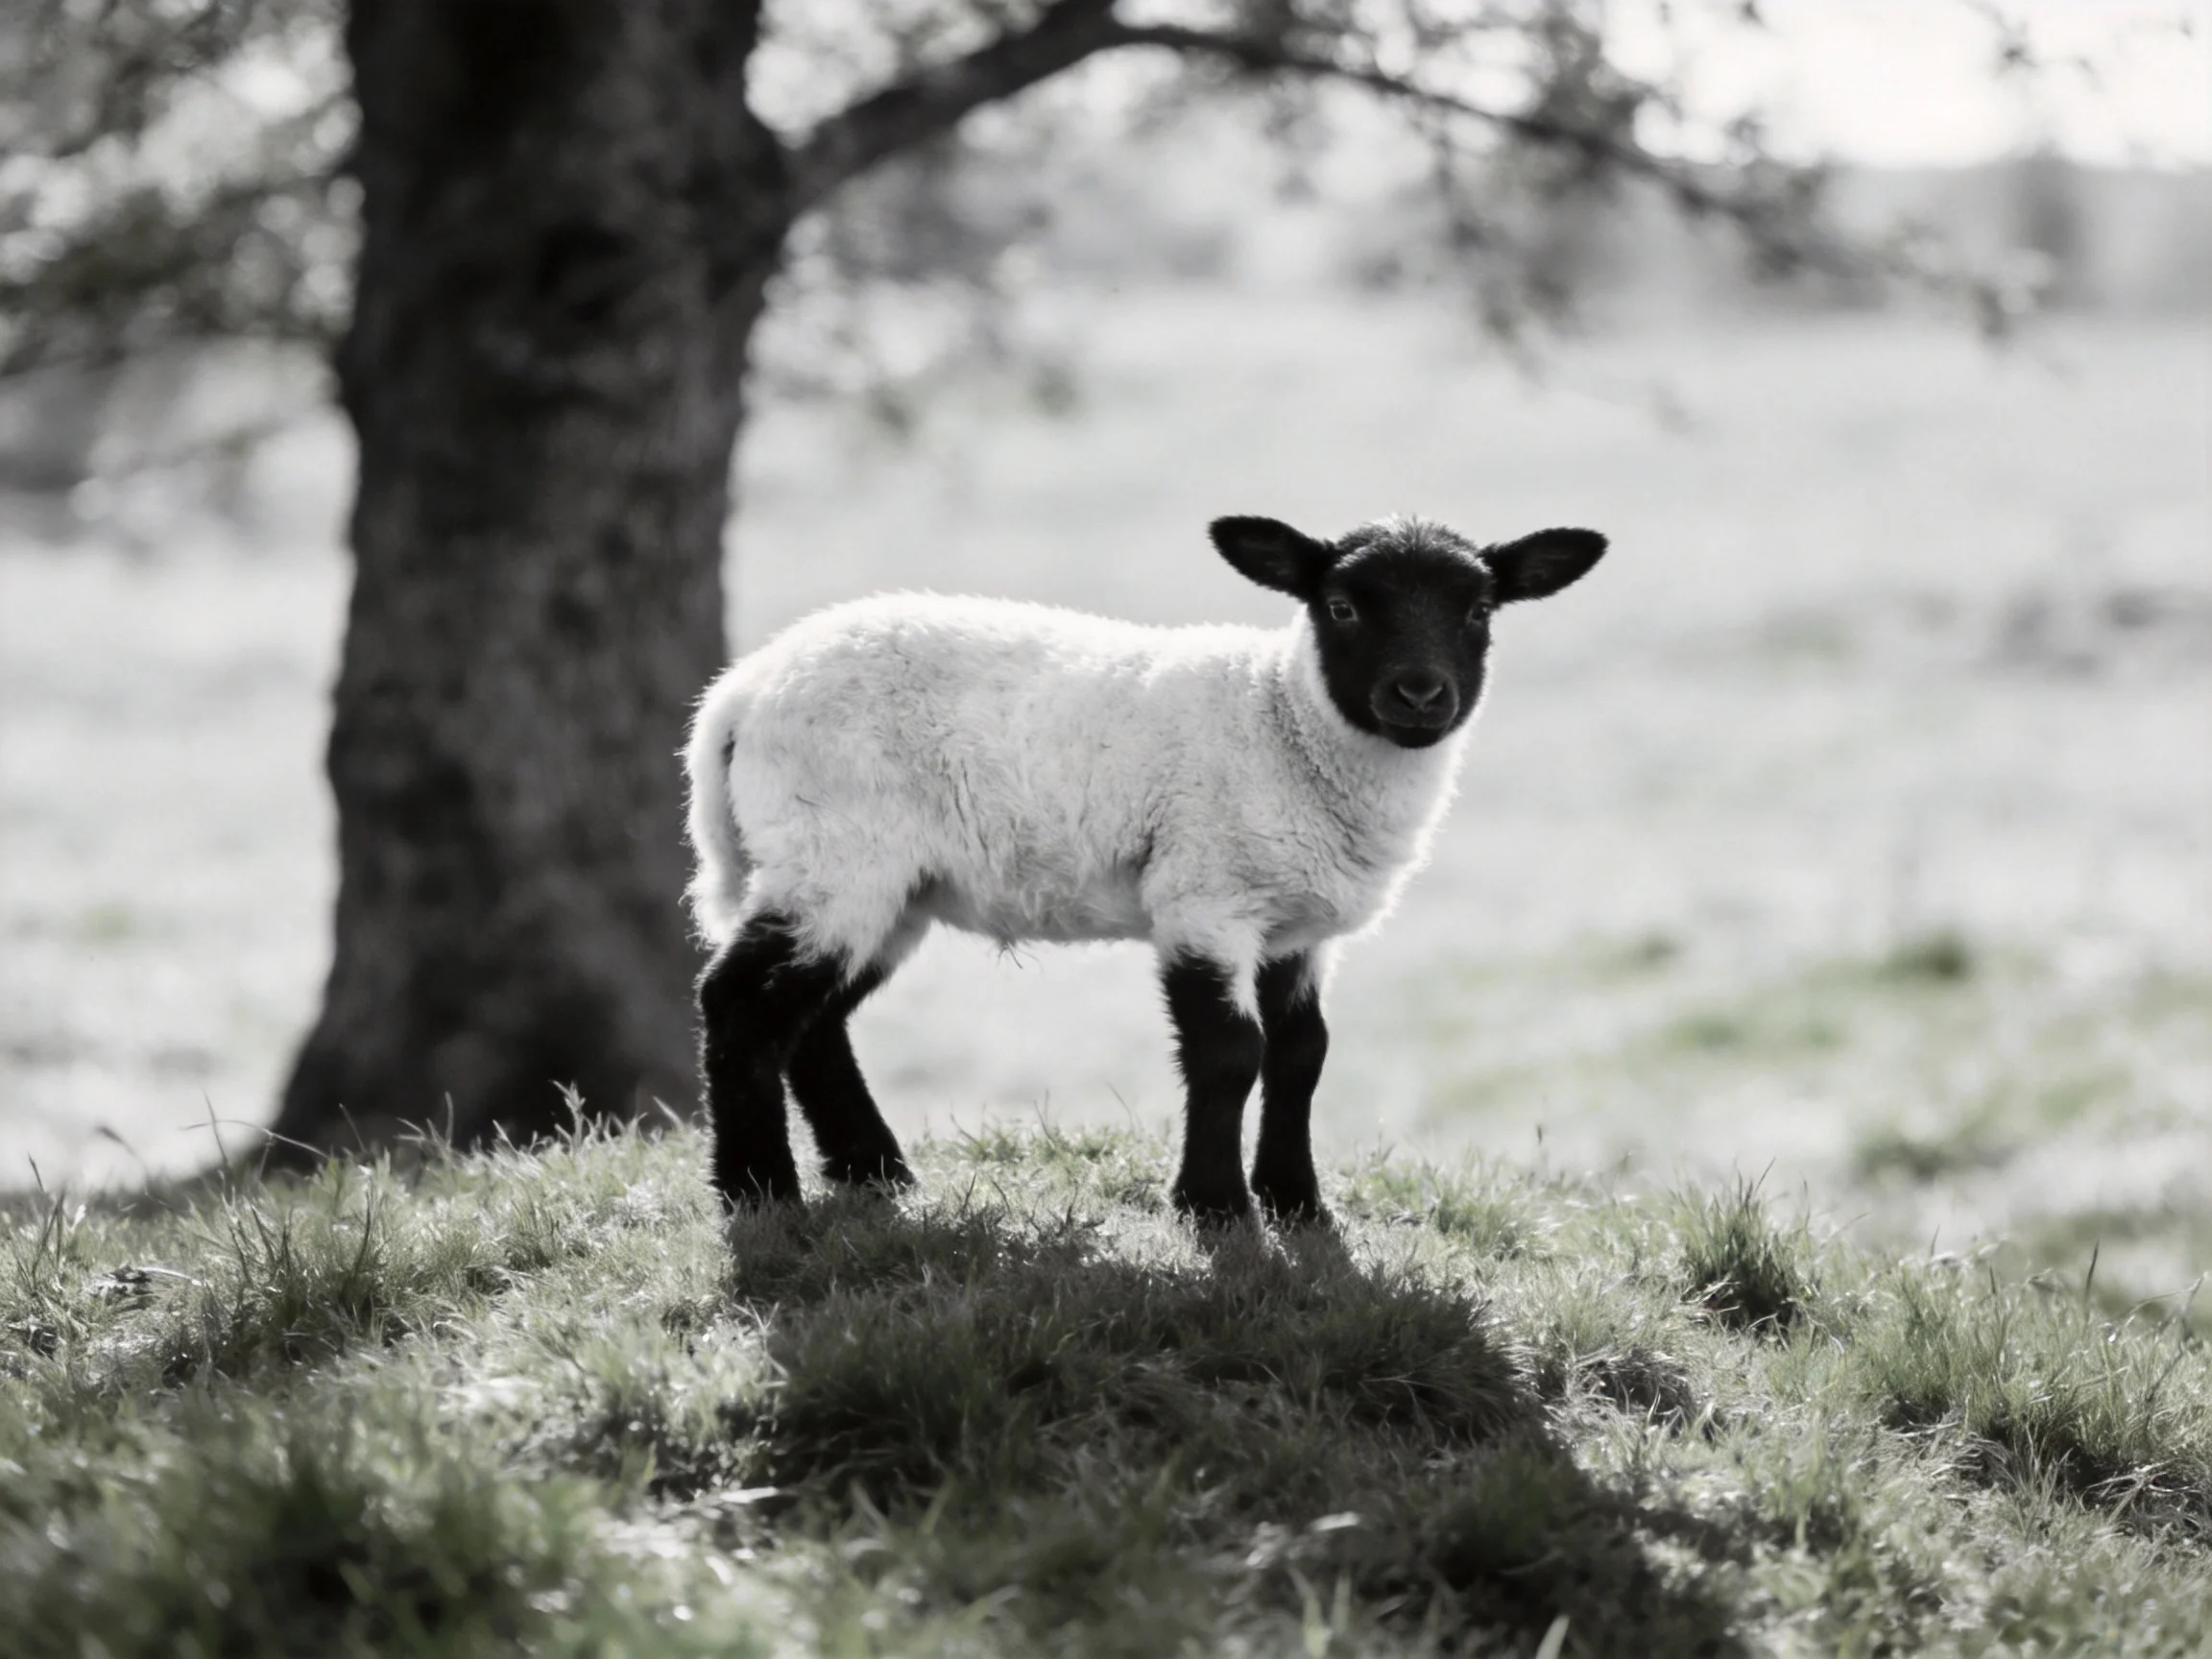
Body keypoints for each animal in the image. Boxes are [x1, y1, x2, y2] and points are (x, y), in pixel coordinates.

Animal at [685, 513, 1608, 1222]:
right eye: (1341, 606)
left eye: (1480, 609)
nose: (1419, 696)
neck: (1284, 722)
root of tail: (738, 693)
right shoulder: (1203, 896)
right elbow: (1231, 1051)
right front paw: (1215, 1205)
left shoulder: (1297, 928)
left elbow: (1303, 1052)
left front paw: (1297, 1202)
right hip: (833, 853)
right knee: (736, 1004)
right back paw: (758, 1192)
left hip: (887, 887)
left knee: (812, 1023)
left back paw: (874, 1173)